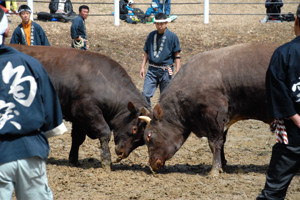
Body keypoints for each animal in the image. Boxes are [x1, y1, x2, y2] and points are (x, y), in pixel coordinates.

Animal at [9, 44, 149, 170]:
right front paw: (106, 162)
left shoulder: (79, 118)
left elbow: (78, 138)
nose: (122, 153)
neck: (105, 83)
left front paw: (74, 159)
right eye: (134, 128)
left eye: (142, 140)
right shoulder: (87, 111)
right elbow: (104, 132)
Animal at [141, 43, 278, 175]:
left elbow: (215, 142)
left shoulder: (214, 115)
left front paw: (215, 170)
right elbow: (222, 141)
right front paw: (223, 164)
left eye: (148, 135)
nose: (151, 163)